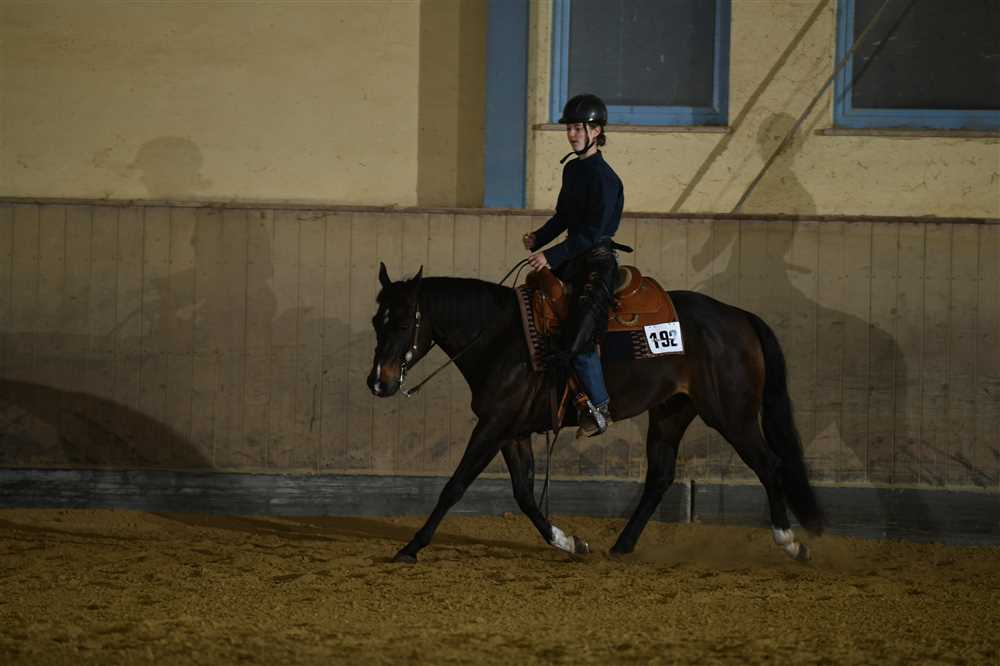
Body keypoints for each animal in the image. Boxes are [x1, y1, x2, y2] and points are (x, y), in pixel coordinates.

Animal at [367, 263, 825, 564]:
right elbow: (525, 494)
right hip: (671, 413)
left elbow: (455, 486)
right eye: (376, 320)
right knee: (660, 478)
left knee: (770, 464)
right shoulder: (512, 430)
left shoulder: (493, 426)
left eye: (404, 322)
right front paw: (569, 542)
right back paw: (621, 546)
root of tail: (740, 317)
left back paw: (790, 542)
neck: (502, 337)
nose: (378, 382)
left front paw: (410, 547)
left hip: (732, 415)